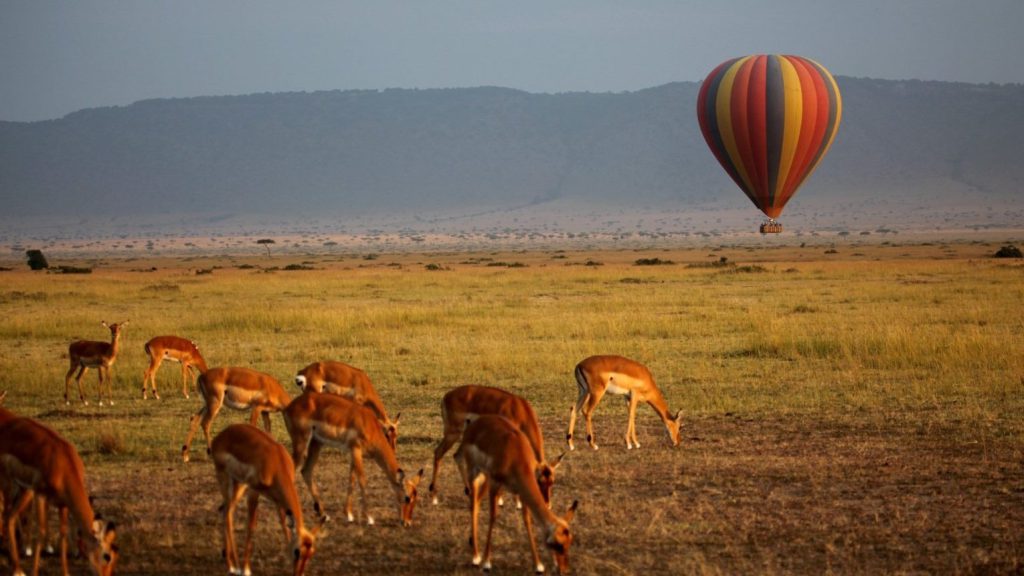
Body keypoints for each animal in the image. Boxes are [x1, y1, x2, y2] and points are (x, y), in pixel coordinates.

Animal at [214, 422, 325, 573]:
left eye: (311, 553)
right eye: (297, 551)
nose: (298, 573)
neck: (277, 464)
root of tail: (220, 436)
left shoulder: (278, 501)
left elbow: (284, 524)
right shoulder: (254, 491)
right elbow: (251, 526)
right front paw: (246, 569)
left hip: (239, 485)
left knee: (225, 510)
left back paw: (228, 559)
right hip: (227, 481)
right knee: (228, 514)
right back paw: (233, 567)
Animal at [282, 389, 421, 524]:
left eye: (416, 498)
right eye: (407, 498)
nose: (407, 522)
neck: (370, 426)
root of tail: (289, 406)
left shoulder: (354, 453)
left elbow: (352, 479)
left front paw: (349, 514)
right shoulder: (355, 449)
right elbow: (362, 480)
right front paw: (369, 518)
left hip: (316, 443)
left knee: (306, 471)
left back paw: (323, 514)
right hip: (301, 442)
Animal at [430, 383, 565, 504]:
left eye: (552, 481)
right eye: (539, 480)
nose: (547, 504)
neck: (521, 410)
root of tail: (446, 396)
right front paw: (506, 500)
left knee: (456, 455)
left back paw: (468, 491)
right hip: (453, 434)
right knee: (438, 452)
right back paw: (434, 496)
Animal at [454, 414, 577, 569]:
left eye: (569, 543)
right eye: (558, 545)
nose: (563, 569)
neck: (516, 455)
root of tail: (474, 423)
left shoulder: (520, 490)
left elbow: (527, 520)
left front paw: (538, 565)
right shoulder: (495, 484)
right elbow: (493, 517)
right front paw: (487, 562)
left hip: (483, 477)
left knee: (476, 502)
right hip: (475, 474)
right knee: (473, 504)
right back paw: (476, 556)